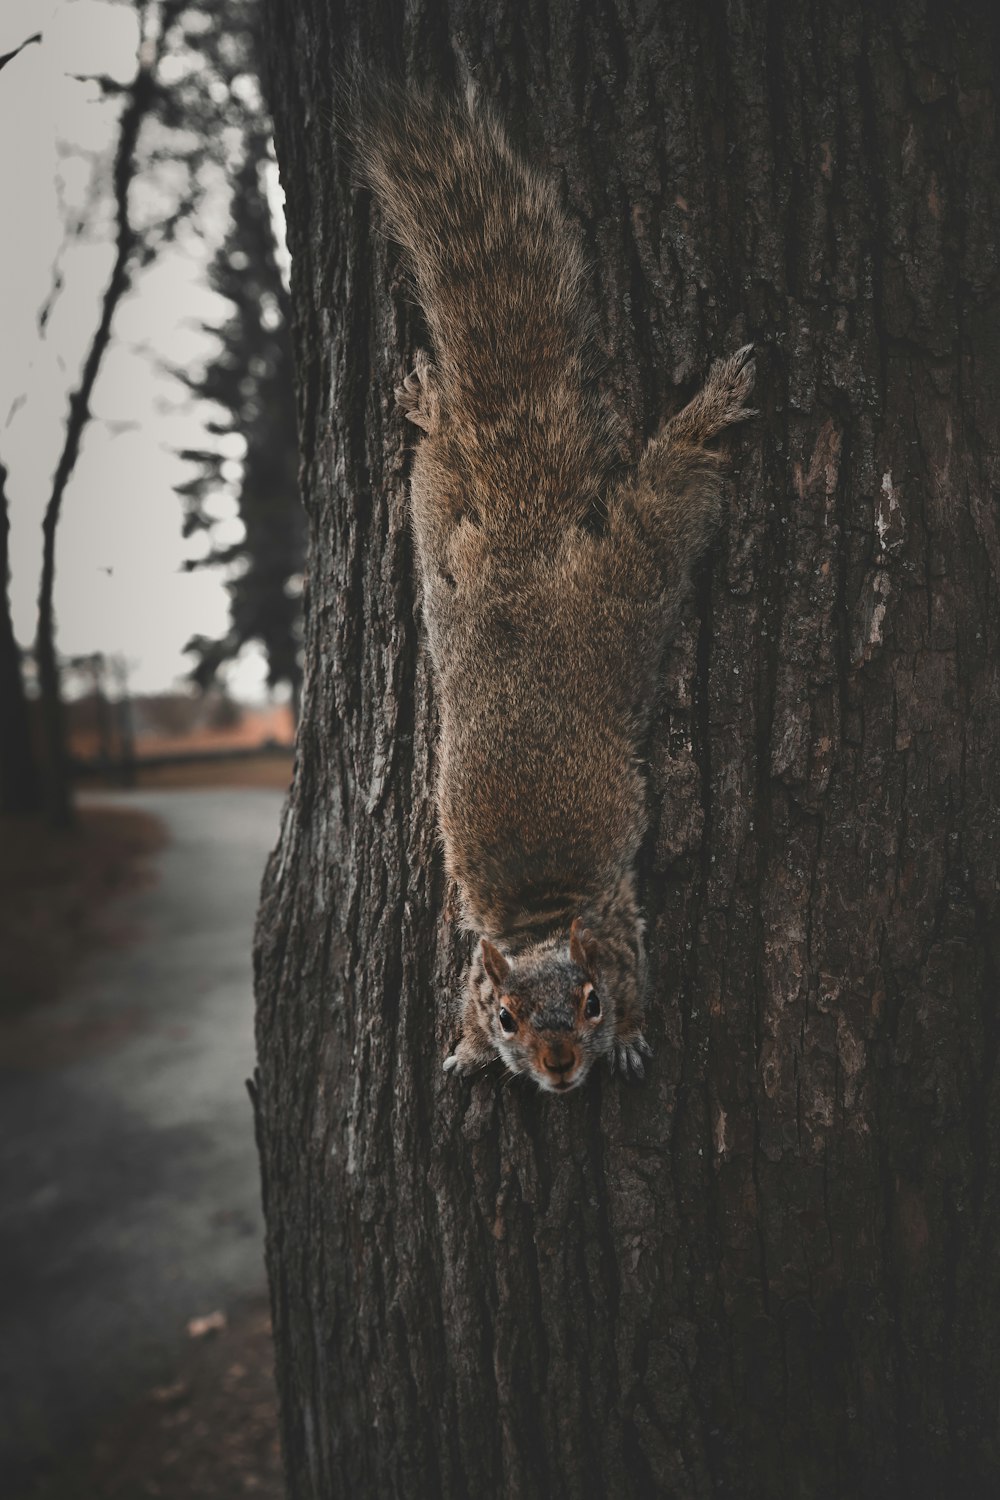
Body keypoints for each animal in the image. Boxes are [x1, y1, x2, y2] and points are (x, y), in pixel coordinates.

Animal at [347, 85, 755, 1092]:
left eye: (594, 1003)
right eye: (507, 1016)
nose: (561, 1068)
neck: (540, 918)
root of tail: (522, 553)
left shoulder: (623, 940)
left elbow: (647, 987)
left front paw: (638, 1040)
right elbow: (456, 1001)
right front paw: (461, 1050)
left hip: (625, 581)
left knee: (664, 499)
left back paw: (703, 417)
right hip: (439, 529)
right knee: (444, 460)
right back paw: (433, 408)